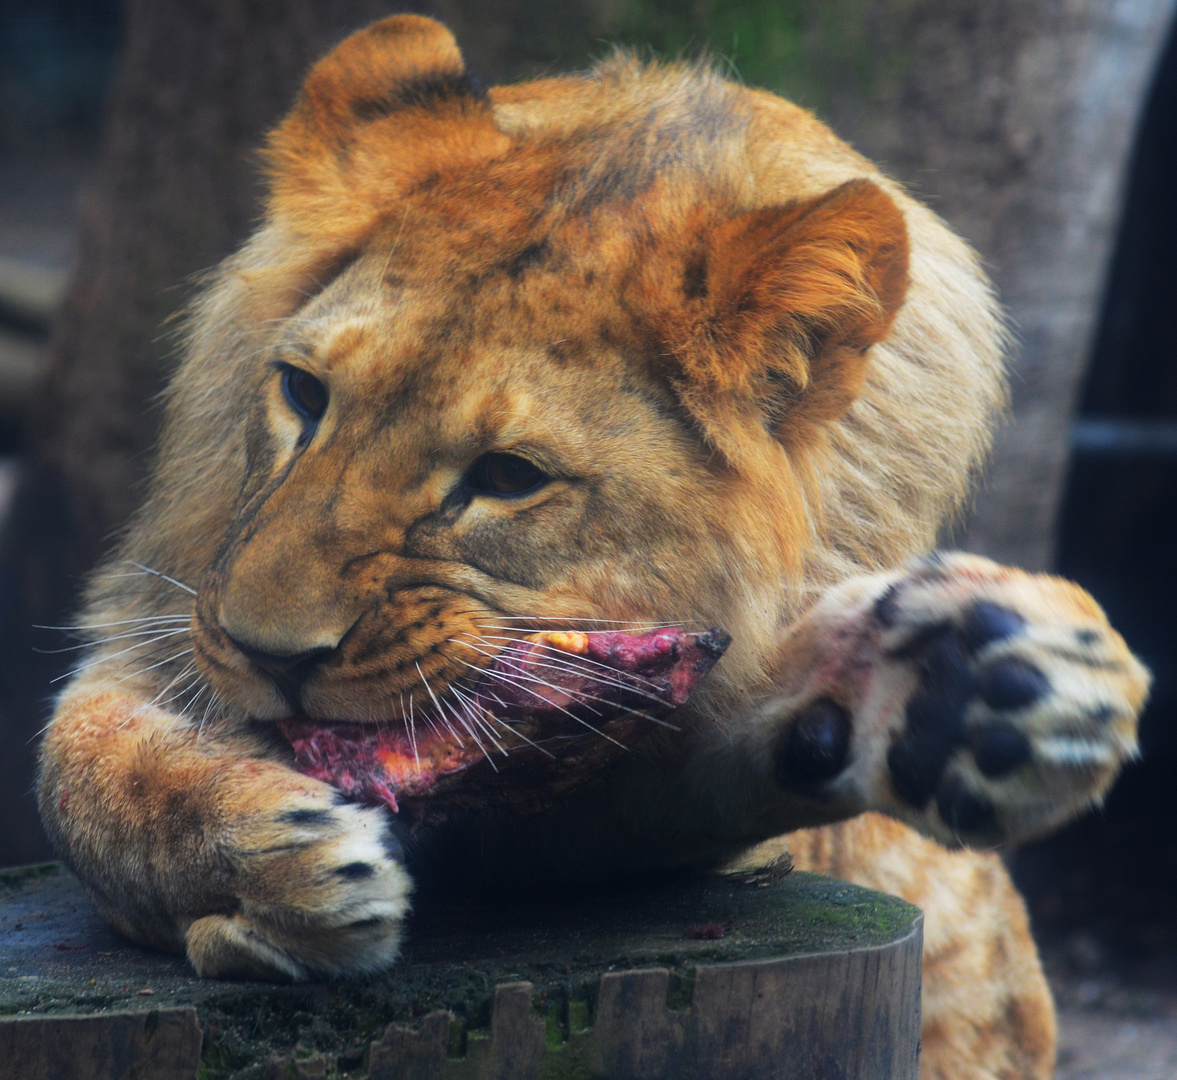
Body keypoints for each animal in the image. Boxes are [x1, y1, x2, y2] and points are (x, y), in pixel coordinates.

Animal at [39, 16, 1148, 1080]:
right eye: (304, 394)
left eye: (507, 477)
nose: (266, 655)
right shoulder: (154, 625)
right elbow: (77, 781)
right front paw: (270, 864)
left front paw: (947, 697)